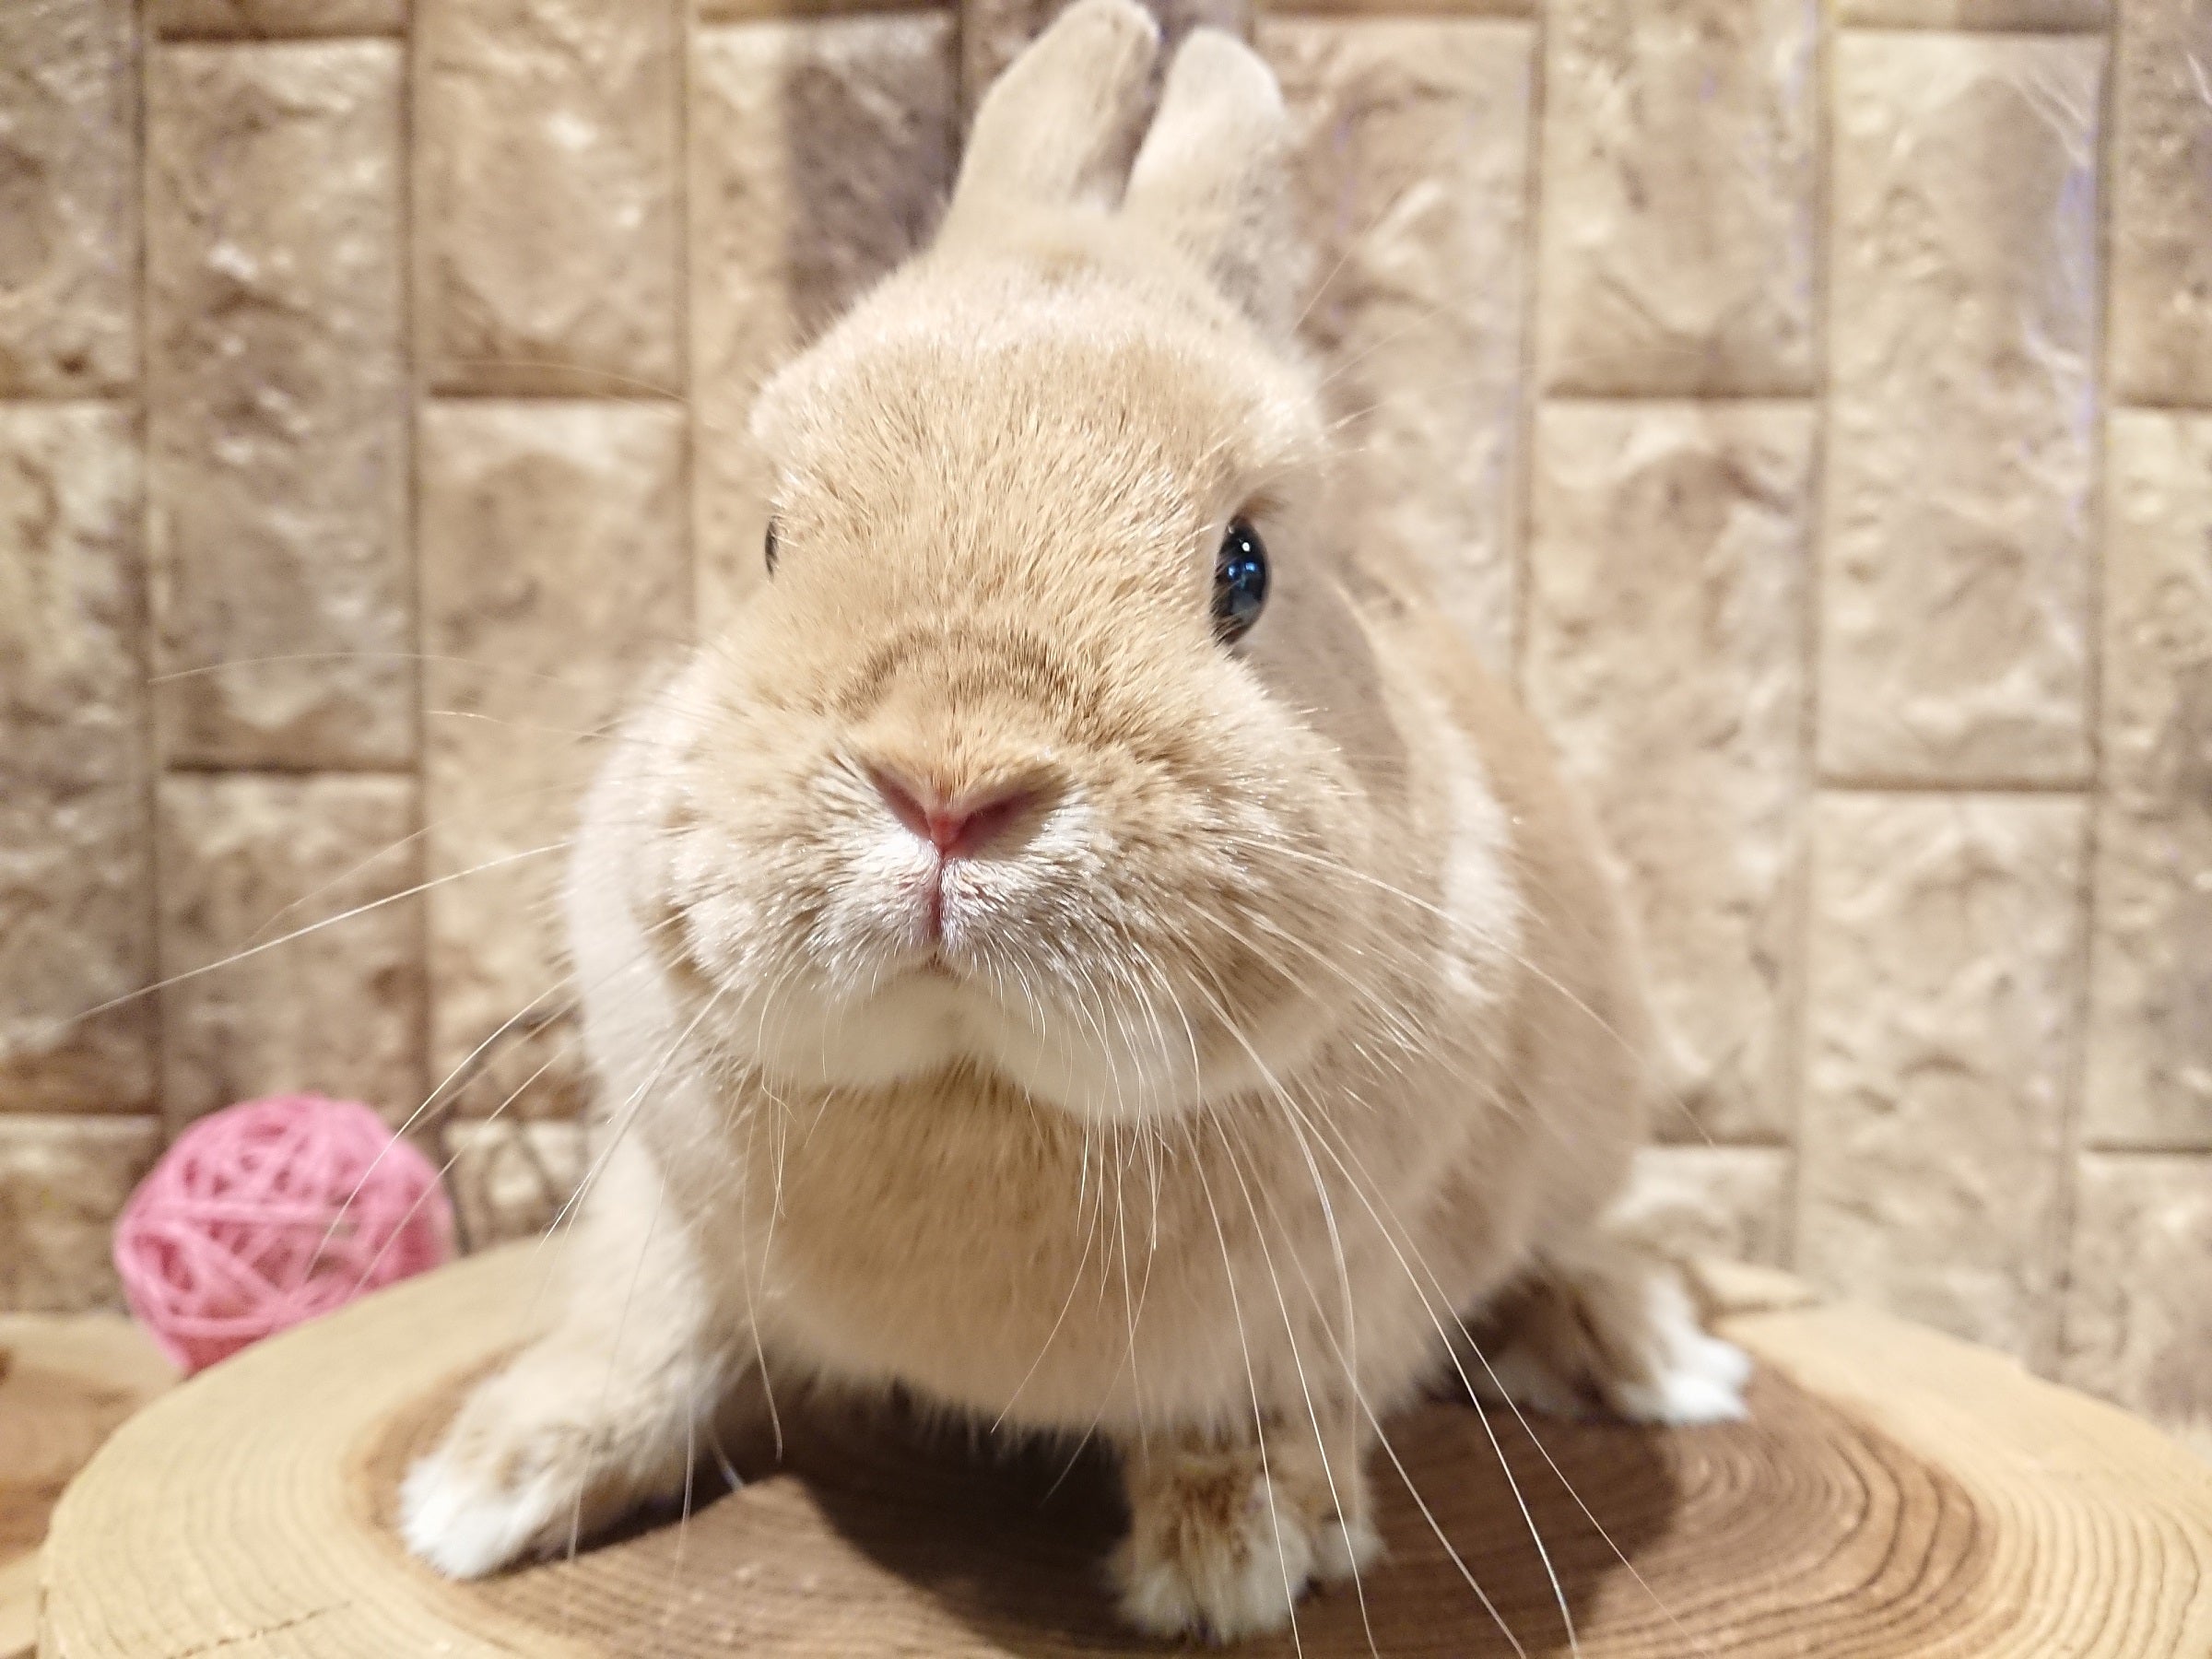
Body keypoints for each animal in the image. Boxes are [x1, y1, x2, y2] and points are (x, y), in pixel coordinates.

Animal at [397, 0, 1750, 1640]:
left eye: (1245, 570)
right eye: (773, 539)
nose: (948, 783)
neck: (977, 1095)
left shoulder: (1348, 1286)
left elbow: (1280, 1407)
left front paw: (1235, 1561)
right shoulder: (667, 1206)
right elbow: (638, 1333)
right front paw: (481, 1494)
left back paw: (1649, 1350)